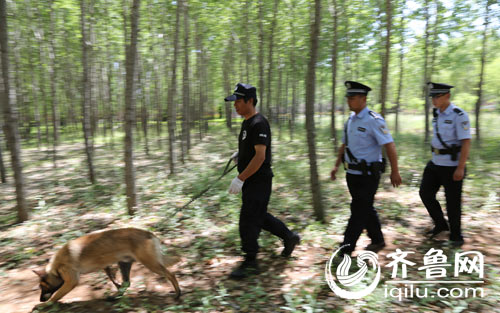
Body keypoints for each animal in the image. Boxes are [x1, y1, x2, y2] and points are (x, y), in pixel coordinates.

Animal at [31, 227, 180, 302]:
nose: (40, 300)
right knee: (127, 282)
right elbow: (114, 279)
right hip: (124, 263)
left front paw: (45, 306)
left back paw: (178, 294)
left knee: (171, 274)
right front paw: (117, 289)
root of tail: (149, 234)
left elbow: (56, 296)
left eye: (42, 286)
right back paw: (115, 297)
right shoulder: (105, 266)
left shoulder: (71, 282)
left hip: (151, 264)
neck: (56, 268)